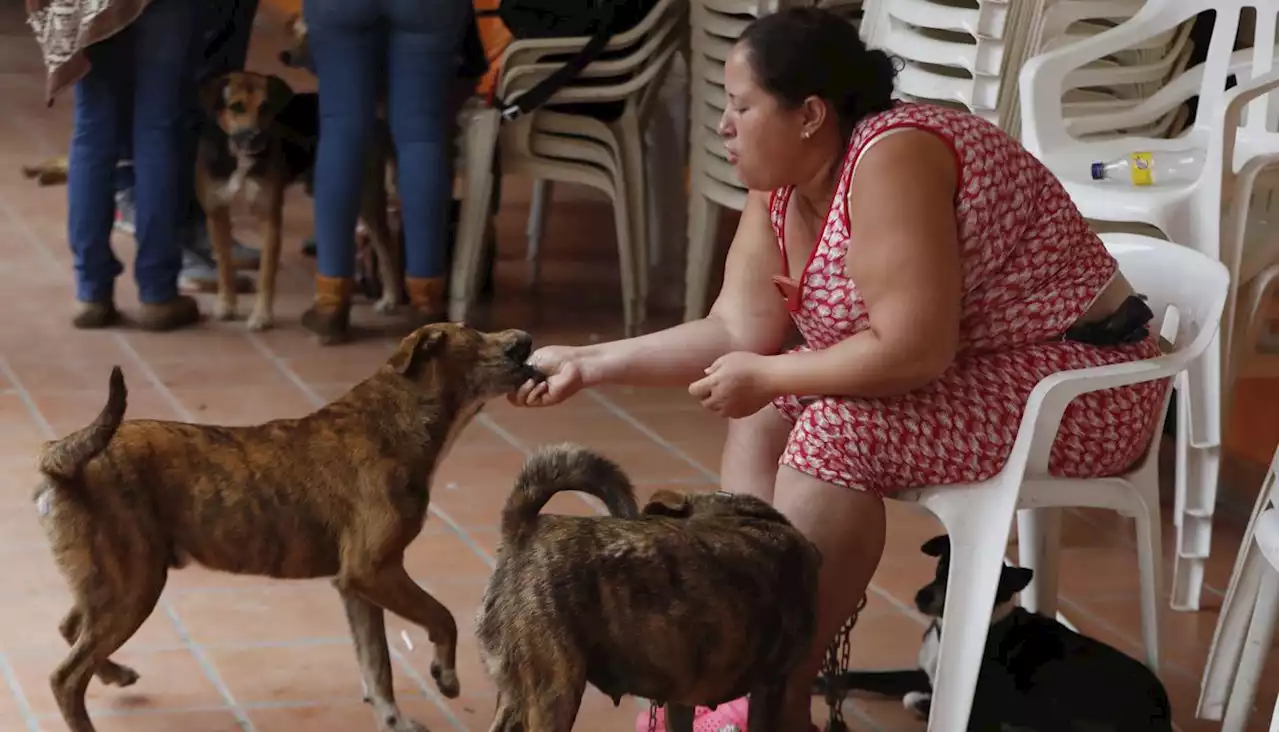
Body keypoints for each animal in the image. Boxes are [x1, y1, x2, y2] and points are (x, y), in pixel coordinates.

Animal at [30, 325, 540, 732]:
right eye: (477, 334)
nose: (525, 338)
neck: (398, 414)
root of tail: (61, 457)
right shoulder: (374, 570)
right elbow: (443, 616)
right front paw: (445, 676)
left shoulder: (355, 586)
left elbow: (377, 666)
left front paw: (393, 720)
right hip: (134, 586)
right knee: (65, 677)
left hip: (114, 579)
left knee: (70, 627)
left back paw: (115, 673)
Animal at [194, 70, 399, 330]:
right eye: (236, 106)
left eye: (265, 106)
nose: (256, 137)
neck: (238, 155)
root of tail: (376, 117)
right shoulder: (216, 213)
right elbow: (224, 264)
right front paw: (226, 303)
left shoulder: (269, 217)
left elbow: (266, 273)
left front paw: (262, 315)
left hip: (367, 198)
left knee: (386, 248)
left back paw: (389, 298)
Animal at [814, 532, 1172, 732]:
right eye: (940, 567)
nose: (920, 597)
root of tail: (1163, 712)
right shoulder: (924, 672)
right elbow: (866, 676)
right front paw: (822, 681)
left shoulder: (979, 699)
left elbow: (917, 699)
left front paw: (923, 704)